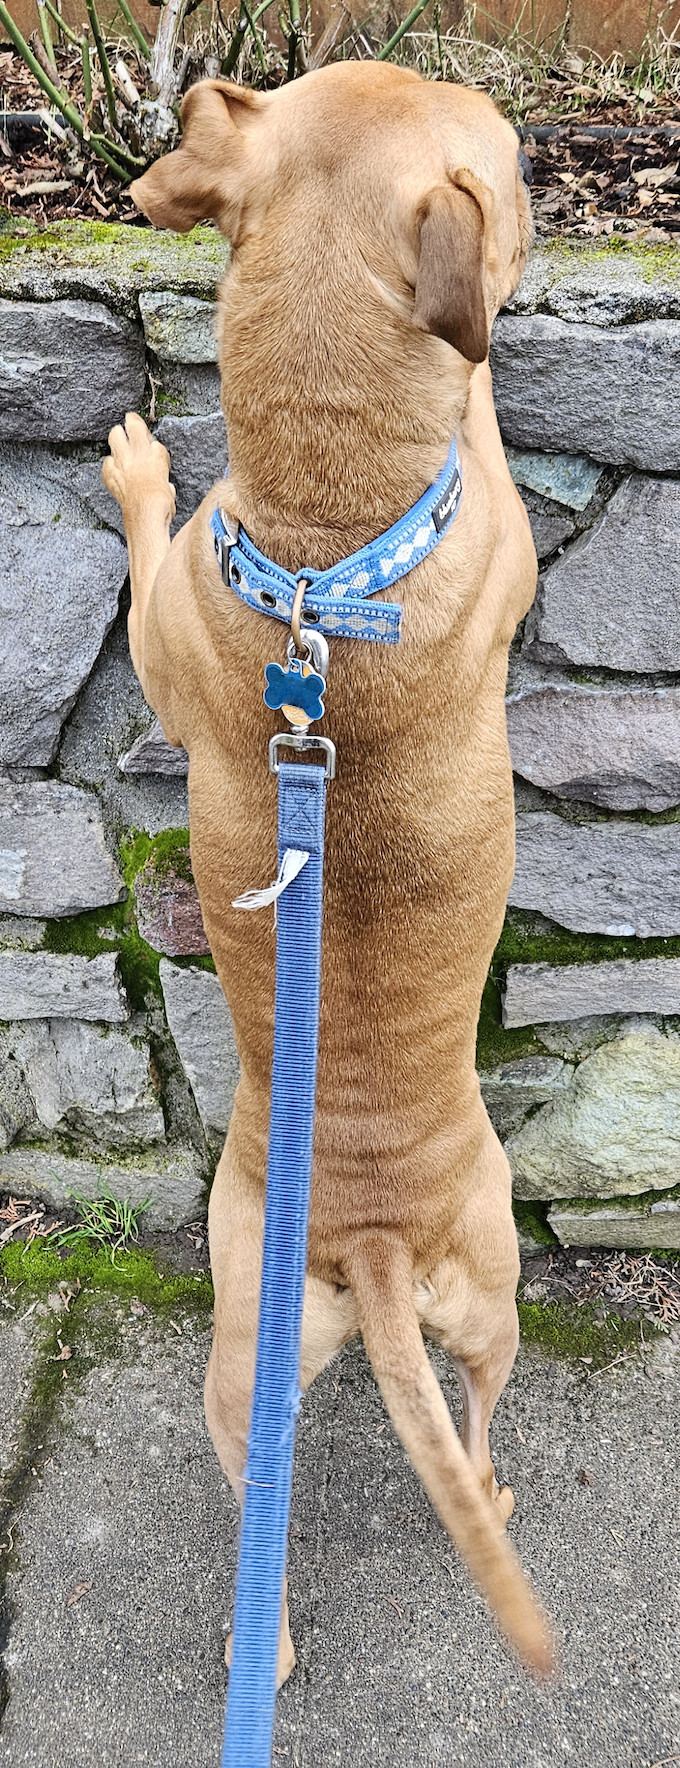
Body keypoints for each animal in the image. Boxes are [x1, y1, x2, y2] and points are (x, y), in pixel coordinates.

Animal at [103, 62, 554, 1676]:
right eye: (515, 162)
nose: (540, 177)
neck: (325, 534)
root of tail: (358, 1237)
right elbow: (476, 406)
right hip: (479, 1277)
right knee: (473, 1422)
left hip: (297, 1334)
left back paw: (274, 1640)